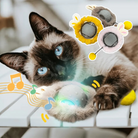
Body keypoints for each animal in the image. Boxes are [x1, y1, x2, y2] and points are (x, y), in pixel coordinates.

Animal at [0, 12, 138, 121]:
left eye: (58, 50)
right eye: (42, 70)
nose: (61, 71)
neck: (85, 73)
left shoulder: (121, 65)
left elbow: (110, 82)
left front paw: (102, 99)